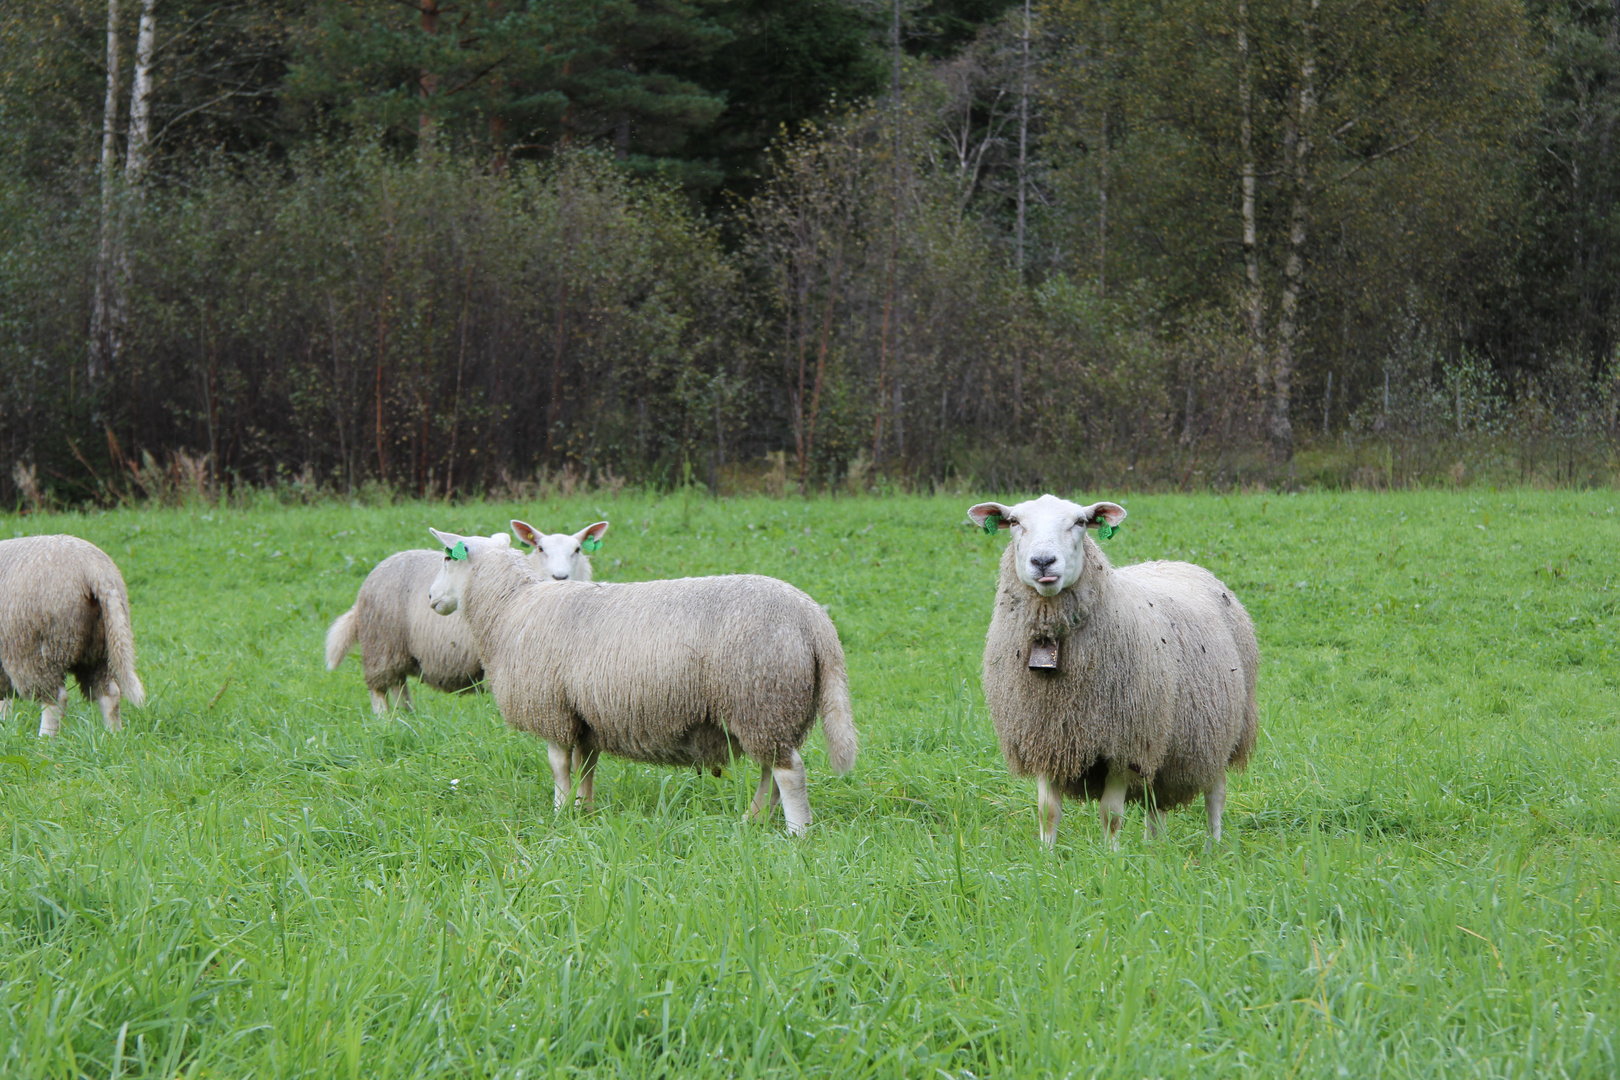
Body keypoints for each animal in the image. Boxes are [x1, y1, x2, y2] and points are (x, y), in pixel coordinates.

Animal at [0, 531, 146, 735]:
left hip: (36, 649)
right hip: (102, 645)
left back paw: (44, 740)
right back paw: (113, 735)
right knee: (110, 693)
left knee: (55, 699)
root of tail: (94, 567)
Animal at [322, 518, 609, 712]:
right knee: (378, 689)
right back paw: (385, 723)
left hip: (398, 649)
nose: (560, 576)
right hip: (380, 643)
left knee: (399, 685)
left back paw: (405, 717)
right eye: (540, 548)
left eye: (577, 550)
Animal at [421, 524, 861, 835]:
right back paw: (752, 820)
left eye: (446, 557)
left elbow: (559, 766)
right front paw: (584, 811)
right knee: (771, 771)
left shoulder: (552, 709)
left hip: (761, 695)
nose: (429, 599)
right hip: (773, 708)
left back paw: (796, 833)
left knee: (790, 773)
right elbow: (586, 766)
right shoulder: (586, 715)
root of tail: (814, 619)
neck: (509, 606)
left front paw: (560, 813)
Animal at [965, 495, 1257, 848]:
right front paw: (1046, 855)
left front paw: (1110, 857)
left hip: (1221, 730)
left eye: (1079, 522)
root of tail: (1178, 563)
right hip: (1165, 741)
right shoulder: (1045, 735)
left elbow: (1111, 815)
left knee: (1216, 794)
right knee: (1155, 801)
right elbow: (1047, 811)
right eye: (1015, 522)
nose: (1043, 561)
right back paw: (1154, 848)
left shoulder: (1124, 744)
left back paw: (1213, 848)